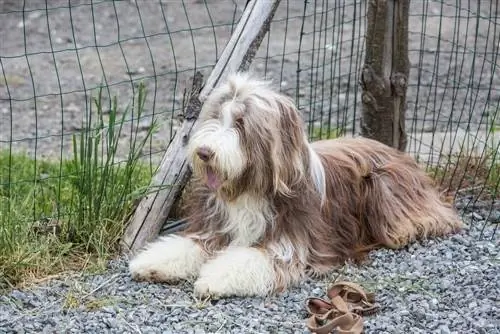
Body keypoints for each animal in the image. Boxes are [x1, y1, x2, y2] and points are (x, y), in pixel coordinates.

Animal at [127, 72, 462, 298]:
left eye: (241, 124)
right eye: (215, 117)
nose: (204, 152)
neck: (250, 189)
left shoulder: (291, 242)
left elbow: (250, 258)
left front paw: (213, 278)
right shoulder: (215, 228)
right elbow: (188, 245)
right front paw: (152, 262)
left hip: (385, 189)